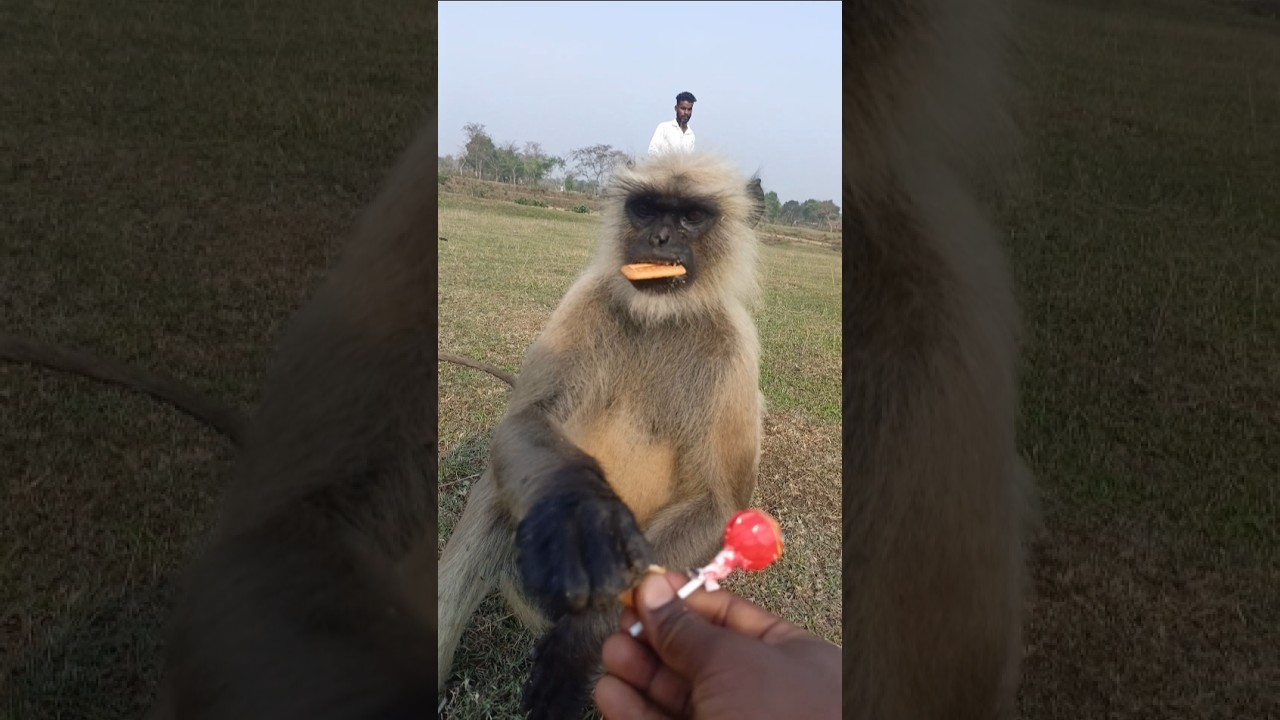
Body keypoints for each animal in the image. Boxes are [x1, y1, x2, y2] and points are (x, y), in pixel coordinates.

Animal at [436, 151, 768, 719]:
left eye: (689, 217)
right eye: (647, 209)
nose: (659, 238)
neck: (660, 318)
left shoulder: (735, 352)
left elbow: (718, 507)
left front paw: (582, 639)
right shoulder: (586, 298)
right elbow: (524, 422)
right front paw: (578, 513)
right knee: (496, 491)